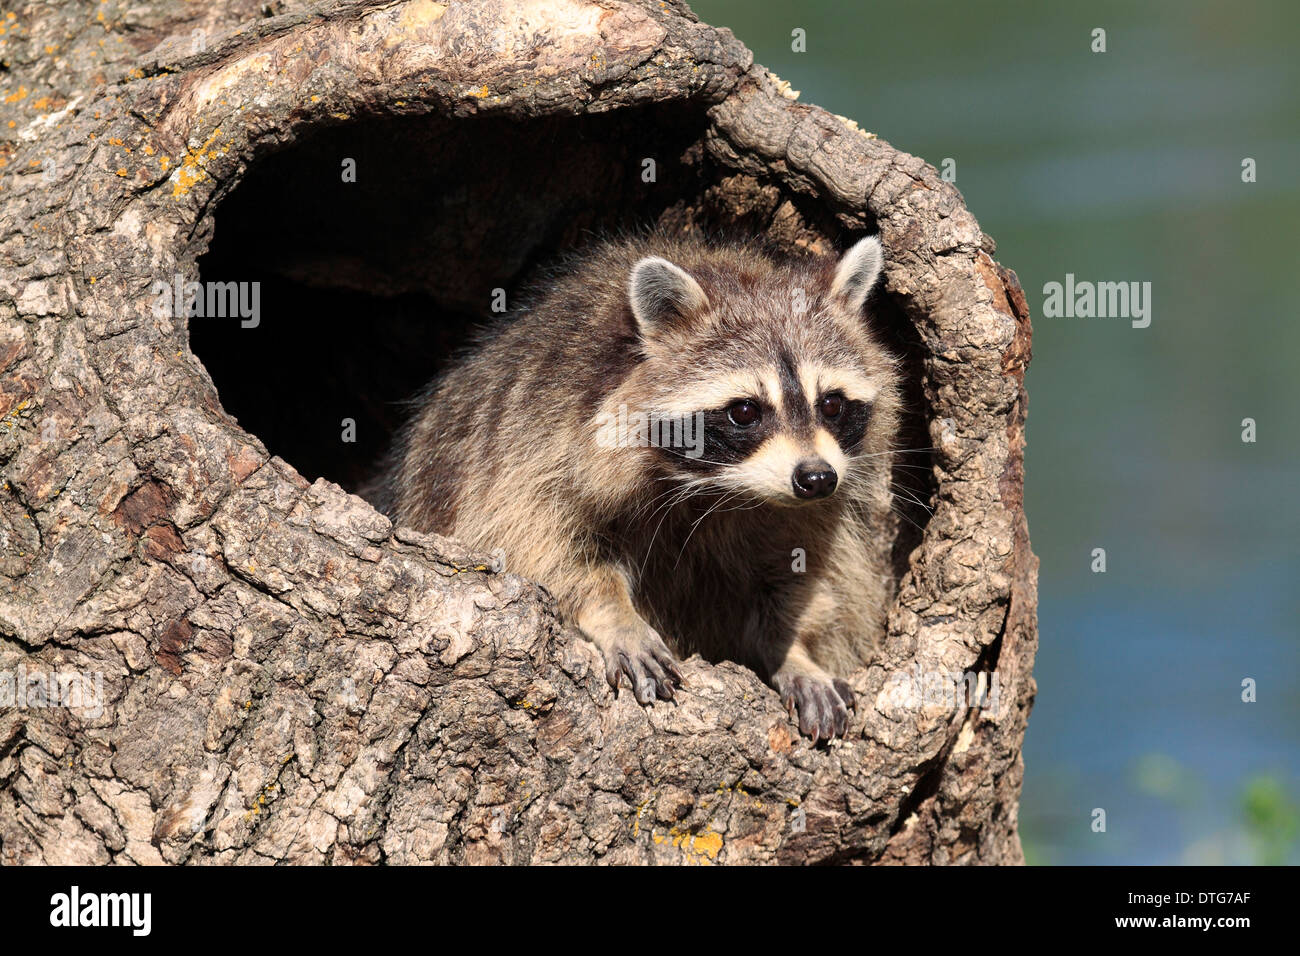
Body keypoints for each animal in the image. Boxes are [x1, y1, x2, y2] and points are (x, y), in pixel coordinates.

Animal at [379, 235, 899, 743]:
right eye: (745, 412)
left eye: (831, 404)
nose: (816, 479)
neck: (719, 489)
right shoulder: (529, 446)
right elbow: (536, 543)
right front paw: (613, 612)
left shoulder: (805, 507)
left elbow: (801, 570)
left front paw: (792, 647)